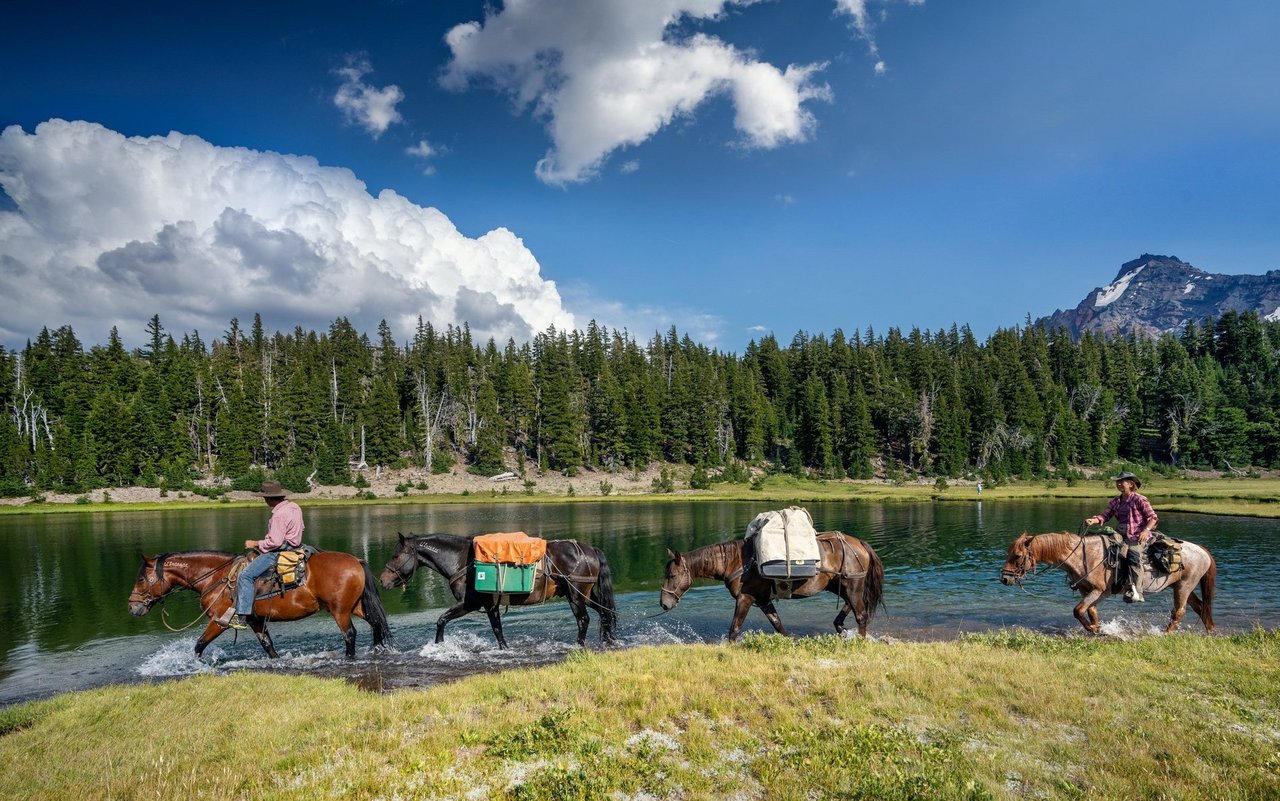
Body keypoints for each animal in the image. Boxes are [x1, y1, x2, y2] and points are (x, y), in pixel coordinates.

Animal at [129, 547, 391, 655]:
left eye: (141, 578)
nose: (132, 607)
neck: (215, 577)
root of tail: (356, 560)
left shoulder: (219, 621)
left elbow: (199, 645)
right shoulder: (255, 620)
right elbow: (268, 646)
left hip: (340, 611)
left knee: (350, 635)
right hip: (355, 606)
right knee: (376, 624)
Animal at [376, 529, 616, 650]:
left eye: (396, 555)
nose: (382, 580)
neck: (462, 560)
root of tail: (589, 549)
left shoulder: (470, 604)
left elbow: (443, 620)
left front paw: (439, 646)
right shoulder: (489, 605)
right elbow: (496, 629)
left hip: (576, 596)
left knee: (583, 620)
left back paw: (579, 645)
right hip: (585, 595)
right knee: (605, 613)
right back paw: (608, 640)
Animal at [655, 529, 885, 642]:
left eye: (672, 575)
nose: (664, 603)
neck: (737, 562)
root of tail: (860, 544)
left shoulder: (745, 599)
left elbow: (734, 628)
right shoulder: (763, 601)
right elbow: (778, 624)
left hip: (852, 586)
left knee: (861, 614)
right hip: (843, 586)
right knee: (853, 607)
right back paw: (840, 627)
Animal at [993, 532, 1213, 632]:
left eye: (1017, 556)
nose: (1004, 578)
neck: (1082, 556)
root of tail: (1202, 550)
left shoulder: (1099, 591)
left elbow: (1078, 611)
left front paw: (1092, 629)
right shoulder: (1087, 591)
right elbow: (1090, 611)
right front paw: (1098, 629)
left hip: (1184, 587)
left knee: (1179, 612)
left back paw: (1165, 634)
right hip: (1182, 587)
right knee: (1200, 608)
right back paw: (1210, 631)